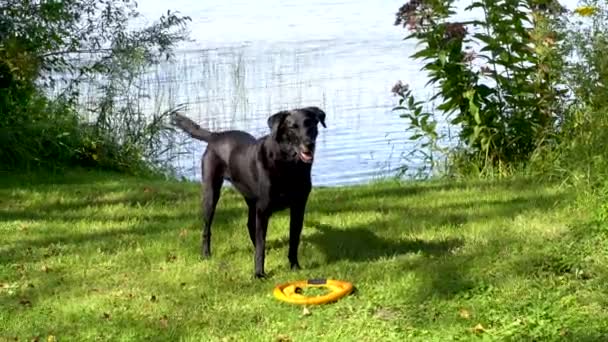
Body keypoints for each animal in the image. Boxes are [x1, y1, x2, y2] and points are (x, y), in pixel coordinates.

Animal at [172, 106, 328, 278]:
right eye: (292, 127)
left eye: (310, 124)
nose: (309, 144)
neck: (289, 165)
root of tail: (215, 136)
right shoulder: (263, 209)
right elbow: (261, 246)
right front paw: (259, 274)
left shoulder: (298, 207)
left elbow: (294, 239)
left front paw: (294, 266)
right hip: (211, 193)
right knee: (207, 228)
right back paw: (206, 254)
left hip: (250, 199)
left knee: (250, 225)